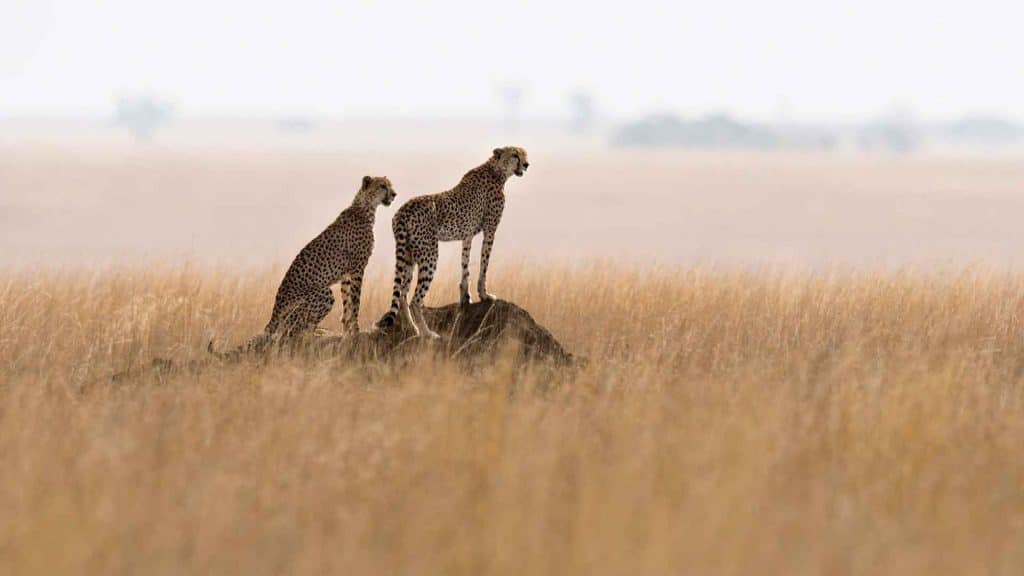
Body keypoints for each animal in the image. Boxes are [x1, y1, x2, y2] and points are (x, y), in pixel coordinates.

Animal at [376, 145, 528, 338]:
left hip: (408, 255)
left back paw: (413, 329)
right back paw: (427, 333)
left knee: (402, 295)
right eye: (515, 155)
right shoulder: (490, 230)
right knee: (415, 299)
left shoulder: (467, 235)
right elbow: (484, 264)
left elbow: (465, 266)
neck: (497, 171)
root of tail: (403, 209)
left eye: (525, 154)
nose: (526, 164)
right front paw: (484, 295)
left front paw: (466, 297)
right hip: (429, 255)